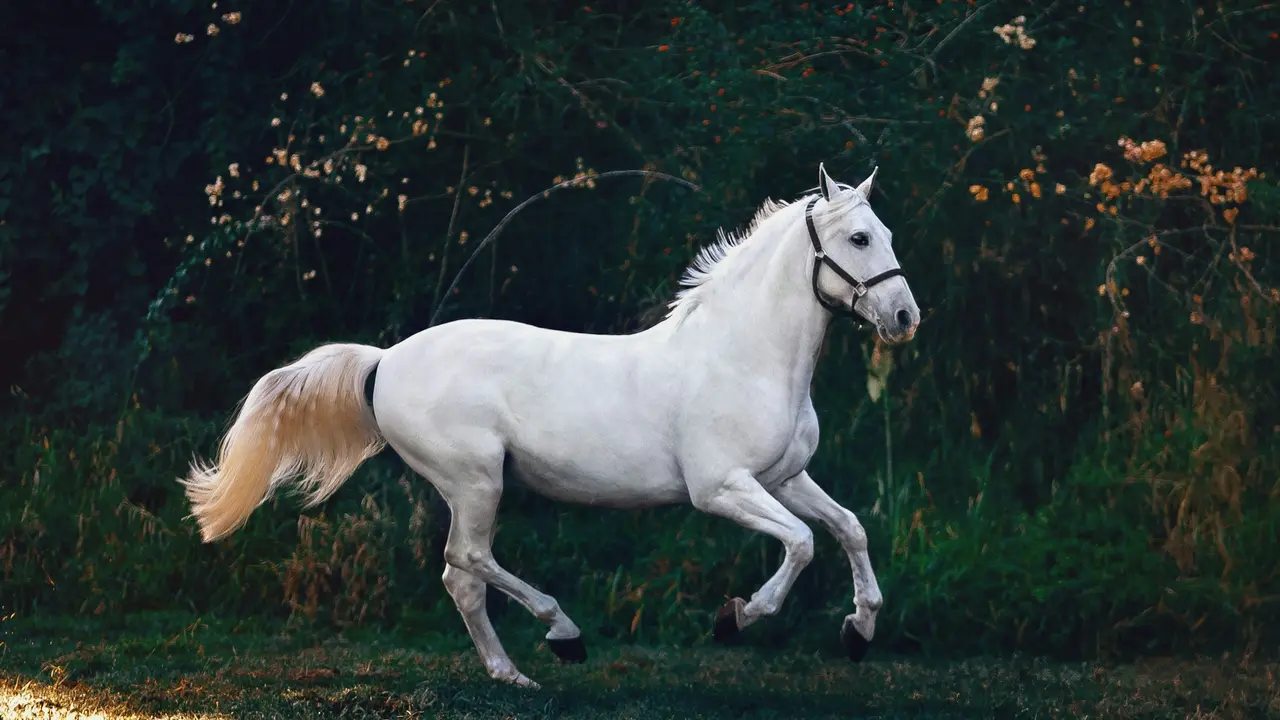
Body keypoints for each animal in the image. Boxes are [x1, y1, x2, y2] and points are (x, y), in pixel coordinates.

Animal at [181, 163, 920, 688]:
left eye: (888, 235)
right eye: (859, 238)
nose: (905, 317)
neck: (745, 356)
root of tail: (384, 360)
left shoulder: (785, 478)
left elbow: (848, 528)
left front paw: (859, 630)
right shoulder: (722, 488)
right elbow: (801, 543)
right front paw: (735, 618)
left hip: (474, 487)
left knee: (460, 577)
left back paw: (513, 675)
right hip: (476, 480)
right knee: (467, 561)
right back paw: (562, 635)